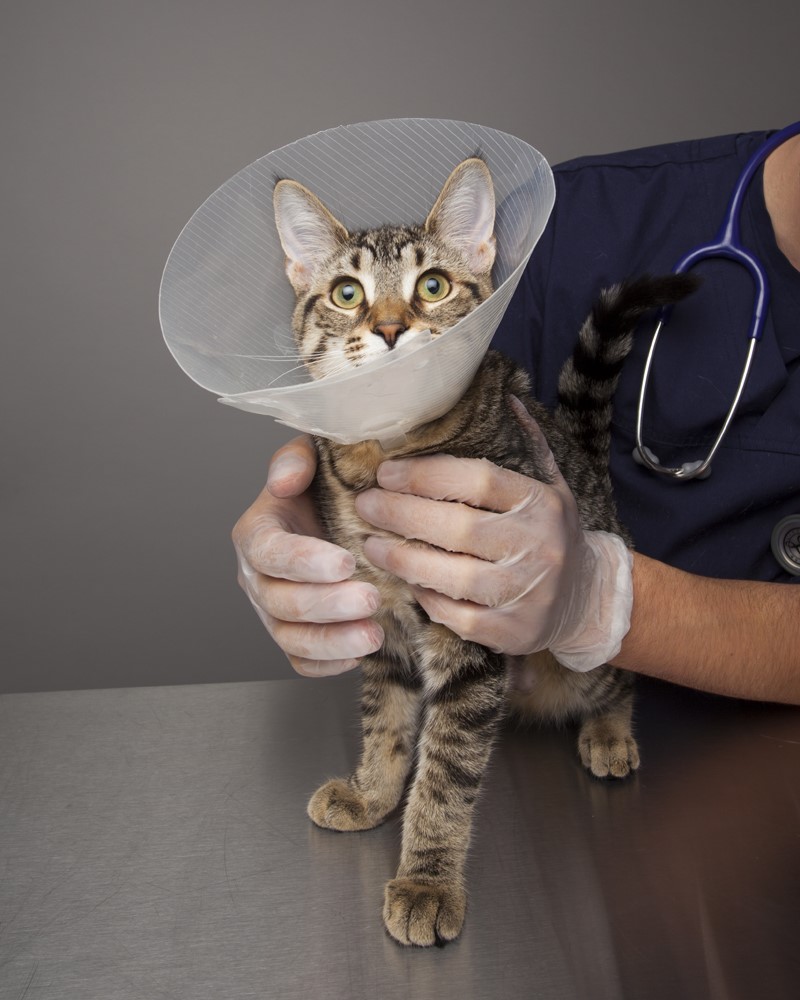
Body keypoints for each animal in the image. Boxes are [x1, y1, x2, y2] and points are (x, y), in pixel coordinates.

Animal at [272, 162, 692, 944]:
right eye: (347, 293)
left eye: (433, 285)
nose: (390, 328)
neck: (386, 451)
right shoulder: (379, 616)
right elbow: (387, 719)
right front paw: (374, 792)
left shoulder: (470, 631)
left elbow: (447, 767)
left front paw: (427, 879)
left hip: (581, 647)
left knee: (619, 675)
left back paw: (610, 733)